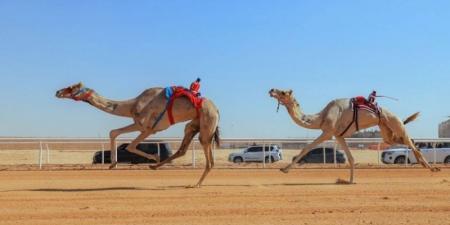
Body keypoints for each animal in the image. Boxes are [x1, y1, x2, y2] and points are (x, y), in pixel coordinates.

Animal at [56, 81, 220, 187]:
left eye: (71, 88)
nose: (57, 92)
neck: (132, 105)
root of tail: (217, 109)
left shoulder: (148, 128)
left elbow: (130, 146)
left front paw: (154, 156)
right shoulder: (140, 125)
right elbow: (113, 132)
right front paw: (113, 163)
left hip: (207, 120)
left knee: (207, 152)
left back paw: (196, 184)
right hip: (194, 123)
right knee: (184, 146)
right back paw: (155, 167)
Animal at [268, 87, 438, 184]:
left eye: (283, 92)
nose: (271, 90)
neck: (321, 117)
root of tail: (396, 116)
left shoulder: (328, 132)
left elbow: (306, 148)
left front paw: (284, 169)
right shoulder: (339, 135)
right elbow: (350, 157)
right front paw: (350, 180)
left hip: (394, 122)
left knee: (409, 141)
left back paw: (431, 168)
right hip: (385, 130)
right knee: (403, 140)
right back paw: (425, 164)